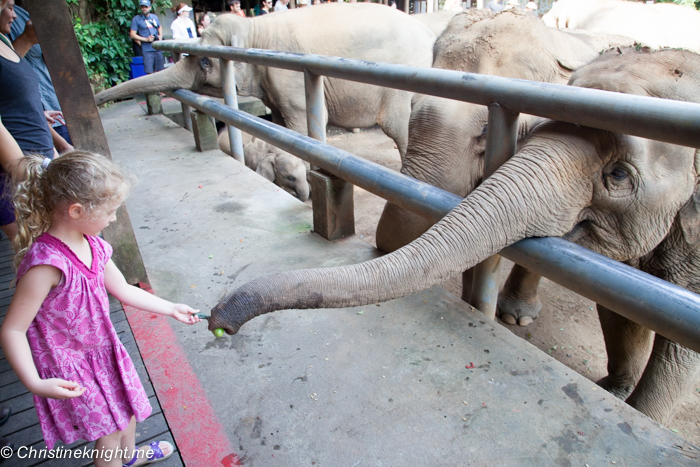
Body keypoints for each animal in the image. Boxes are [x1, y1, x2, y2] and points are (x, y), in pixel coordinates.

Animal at [91, 3, 432, 161]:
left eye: (204, 61)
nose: (97, 100)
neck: (253, 28)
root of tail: (427, 32)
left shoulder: (289, 79)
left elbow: (299, 126)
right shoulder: (272, 84)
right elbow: (279, 124)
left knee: (396, 125)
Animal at [206, 48, 700, 428]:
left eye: (617, 174)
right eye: (532, 133)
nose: (217, 320)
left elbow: (666, 332)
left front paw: (638, 413)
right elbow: (622, 310)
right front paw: (615, 393)